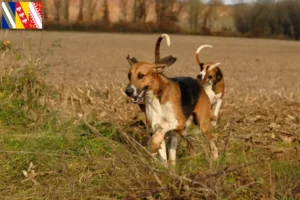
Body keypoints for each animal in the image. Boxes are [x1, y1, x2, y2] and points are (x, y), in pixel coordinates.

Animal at [124, 38, 218, 166]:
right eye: (129, 75)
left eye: (141, 75)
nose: (128, 91)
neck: (156, 97)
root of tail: (199, 84)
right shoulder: (156, 127)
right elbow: (162, 150)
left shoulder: (178, 121)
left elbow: (163, 126)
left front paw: (154, 144)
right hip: (183, 131)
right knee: (191, 143)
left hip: (202, 125)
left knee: (211, 138)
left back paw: (215, 156)